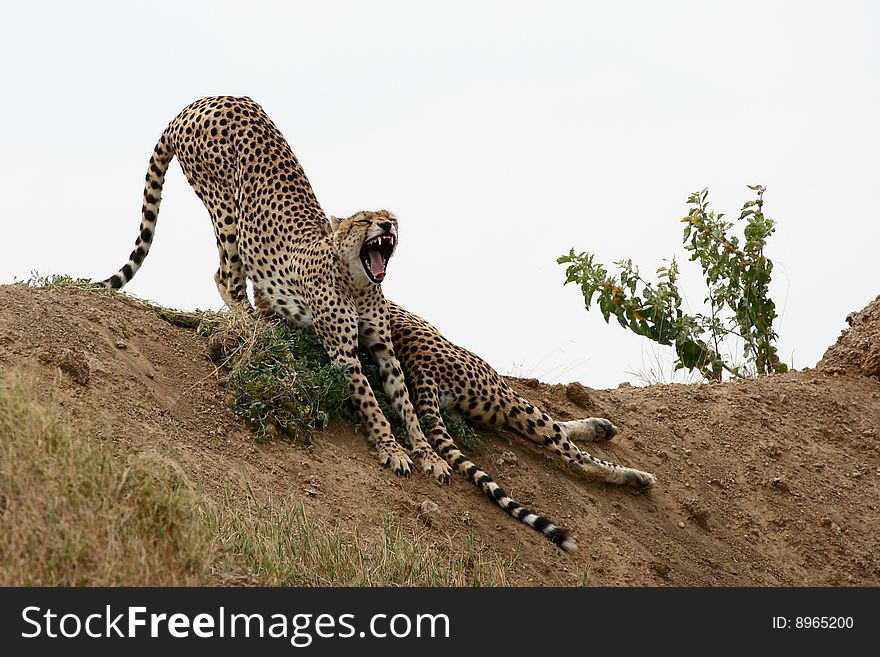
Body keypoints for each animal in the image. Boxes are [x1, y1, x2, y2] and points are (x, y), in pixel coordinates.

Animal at [99, 95, 450, 482]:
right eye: (364, 220)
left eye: (390, 217)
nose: (387, 225)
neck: (357, 281)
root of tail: (202, 101)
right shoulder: (343, 352)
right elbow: (372, 402)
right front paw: (391, 448)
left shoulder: (384, 349)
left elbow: (406, 405)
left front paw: (428, 453)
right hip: (226, 208)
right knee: (226, 277)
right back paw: (254, 327)